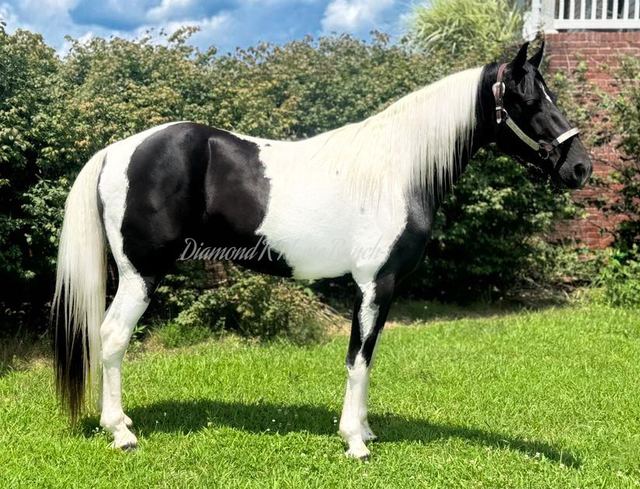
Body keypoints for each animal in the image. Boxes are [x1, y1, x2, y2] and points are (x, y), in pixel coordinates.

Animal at [52, 42, 592, 459]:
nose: (581, 167)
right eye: (526, 99)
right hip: (140, 274)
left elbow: (368, 358)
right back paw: (120, 433)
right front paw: (354, 441)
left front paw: (365, 431)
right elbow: (359, 358)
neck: (397, 170)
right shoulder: (375, 283)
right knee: (113, 337)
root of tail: (117, 150)